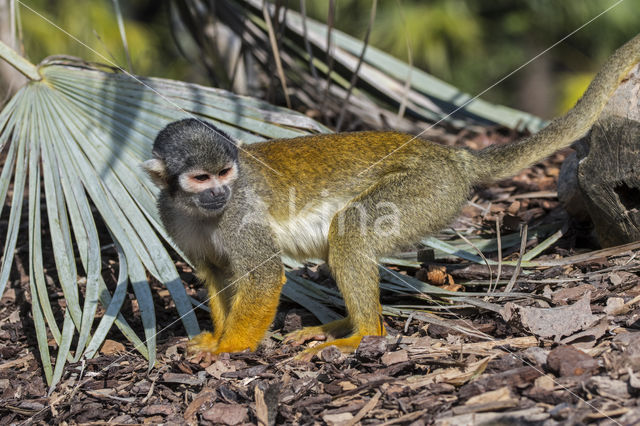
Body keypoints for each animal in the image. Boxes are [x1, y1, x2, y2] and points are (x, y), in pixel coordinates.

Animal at [142, 34, 640, 360]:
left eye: (226, 174)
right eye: (202, 179)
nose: (220, 191)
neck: (201, 210)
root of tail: (453, 156)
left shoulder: (240, 212)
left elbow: (262, 277)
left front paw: (228, 348)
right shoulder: (170, 215)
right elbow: (217, 274)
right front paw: (215, 337)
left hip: (426, 189)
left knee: (350, 231)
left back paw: (363, 334)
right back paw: (343, 326)